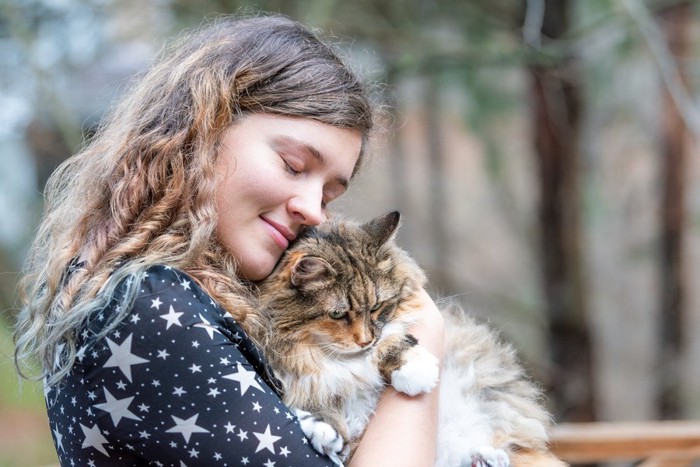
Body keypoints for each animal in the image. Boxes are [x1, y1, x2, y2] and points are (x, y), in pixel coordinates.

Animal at [249, 213, 568, 467]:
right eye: (338, 314)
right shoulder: (307, 383)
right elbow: (319, 405)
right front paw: (323, 431)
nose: (364, 340)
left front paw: (413, 371)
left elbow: (390, 339)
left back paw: (488, 458)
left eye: (377, 307)